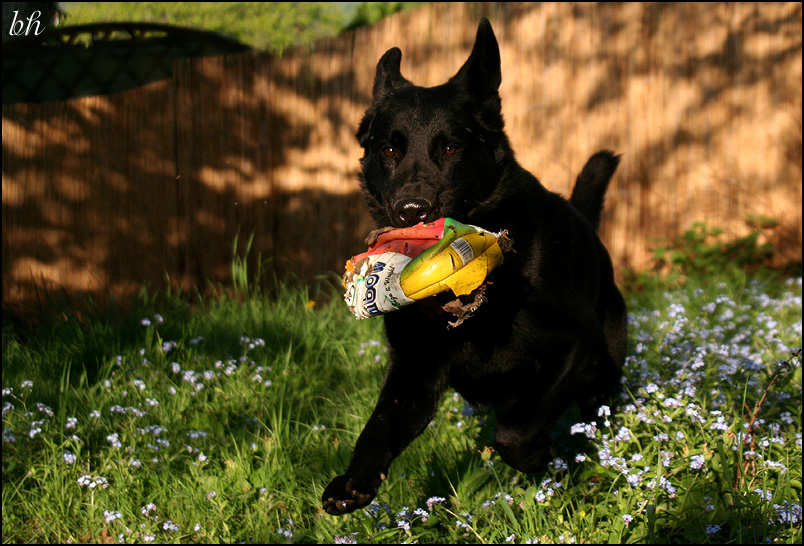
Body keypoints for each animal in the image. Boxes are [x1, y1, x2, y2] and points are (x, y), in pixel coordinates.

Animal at [324, 18, 624, 516]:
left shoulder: (575, 348)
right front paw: (353, 481)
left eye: (449, 148)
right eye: (388, 150)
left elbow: (515, 434)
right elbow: (378, 428)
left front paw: (546, 457)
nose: (411, 211)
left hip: (604, 372)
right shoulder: (414, 372)